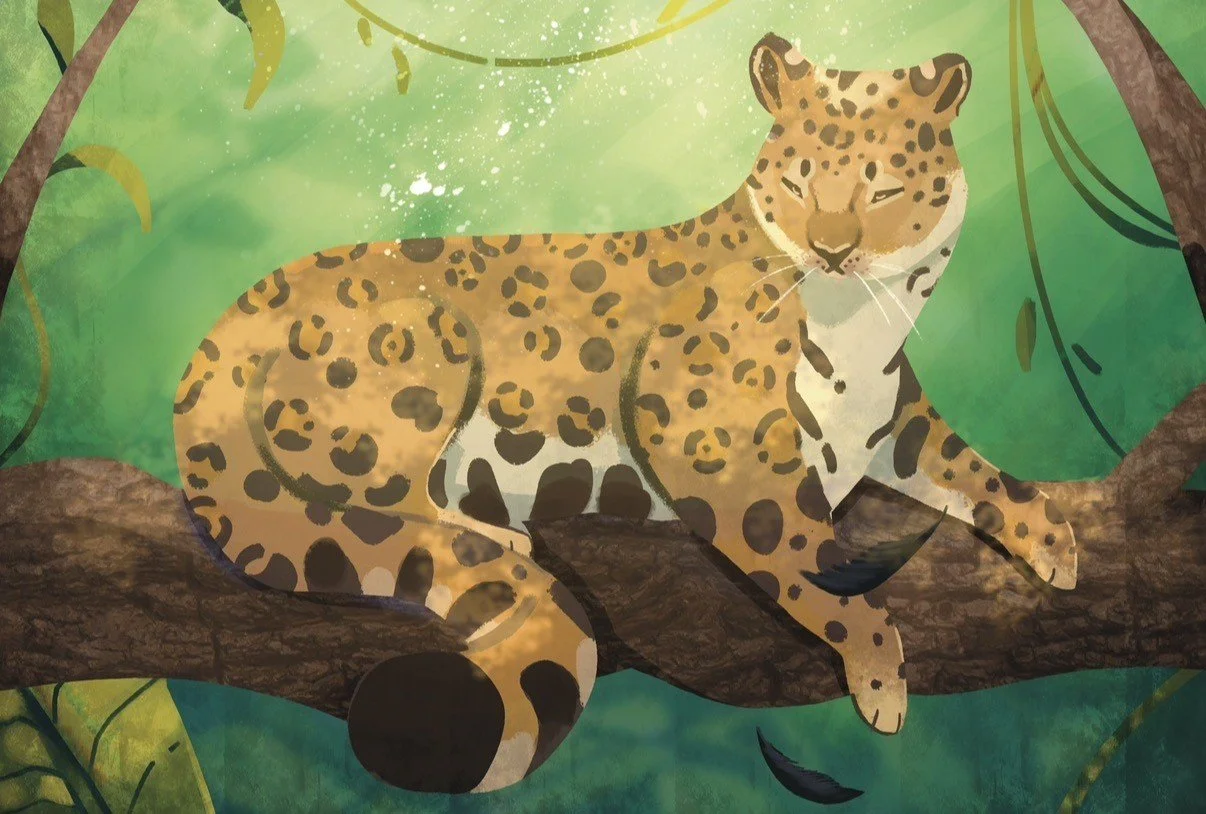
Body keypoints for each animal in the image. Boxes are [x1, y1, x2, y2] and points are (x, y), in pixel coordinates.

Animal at [174, 32, 1078, 795]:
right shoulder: (728, 464)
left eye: (883, 186)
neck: (863, 320)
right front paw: (882, 679)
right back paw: (490, 530)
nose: (829, 247)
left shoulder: (896, 421)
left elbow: (973, 468)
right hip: (423, 344)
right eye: (797, 181)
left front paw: (1055, 543)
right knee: (367, 500)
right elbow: (821, 572)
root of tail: (213, 343)